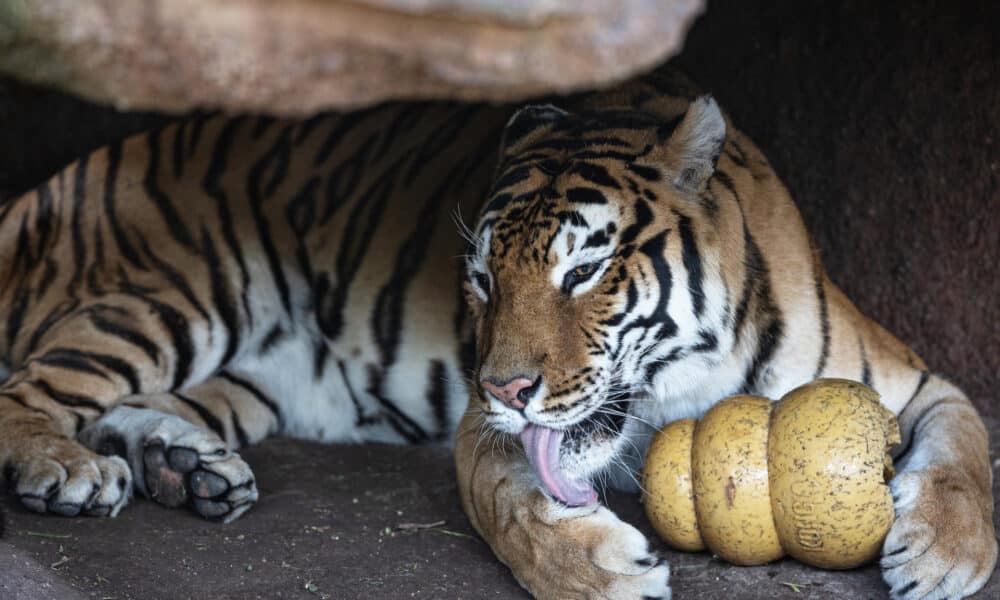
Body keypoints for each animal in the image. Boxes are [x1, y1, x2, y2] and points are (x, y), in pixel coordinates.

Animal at [0, 71, 996, 600]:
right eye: (482, 279)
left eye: (583, 271)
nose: (507, 388)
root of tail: (57, 179)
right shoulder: (481, 434)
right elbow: (510, 509)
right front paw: (600, 574)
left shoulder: (922, 383)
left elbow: (965, 456)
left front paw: (945, 558)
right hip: (175, 294)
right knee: (33, 391)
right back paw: (69, 473)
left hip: (253, 376)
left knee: (126, 406)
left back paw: (186, 468)